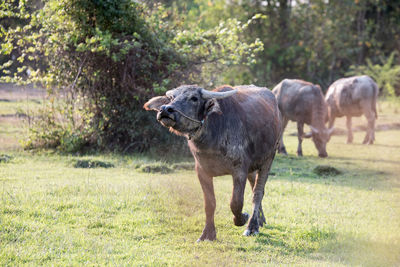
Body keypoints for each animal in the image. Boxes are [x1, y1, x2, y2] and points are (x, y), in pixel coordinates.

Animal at [144, 85, 282, 242]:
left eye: (194, 98)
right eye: (172, 98)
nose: (165, 110)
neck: (211, 140)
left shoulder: (239, 170)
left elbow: (235, 202)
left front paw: (242, 218)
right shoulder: (202, 171)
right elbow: (209, 203)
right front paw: (208, 234)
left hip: (268, 159)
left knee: (258, 193)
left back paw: (252, 226)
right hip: (253, 168)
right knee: (255, 188)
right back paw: (260, 220)